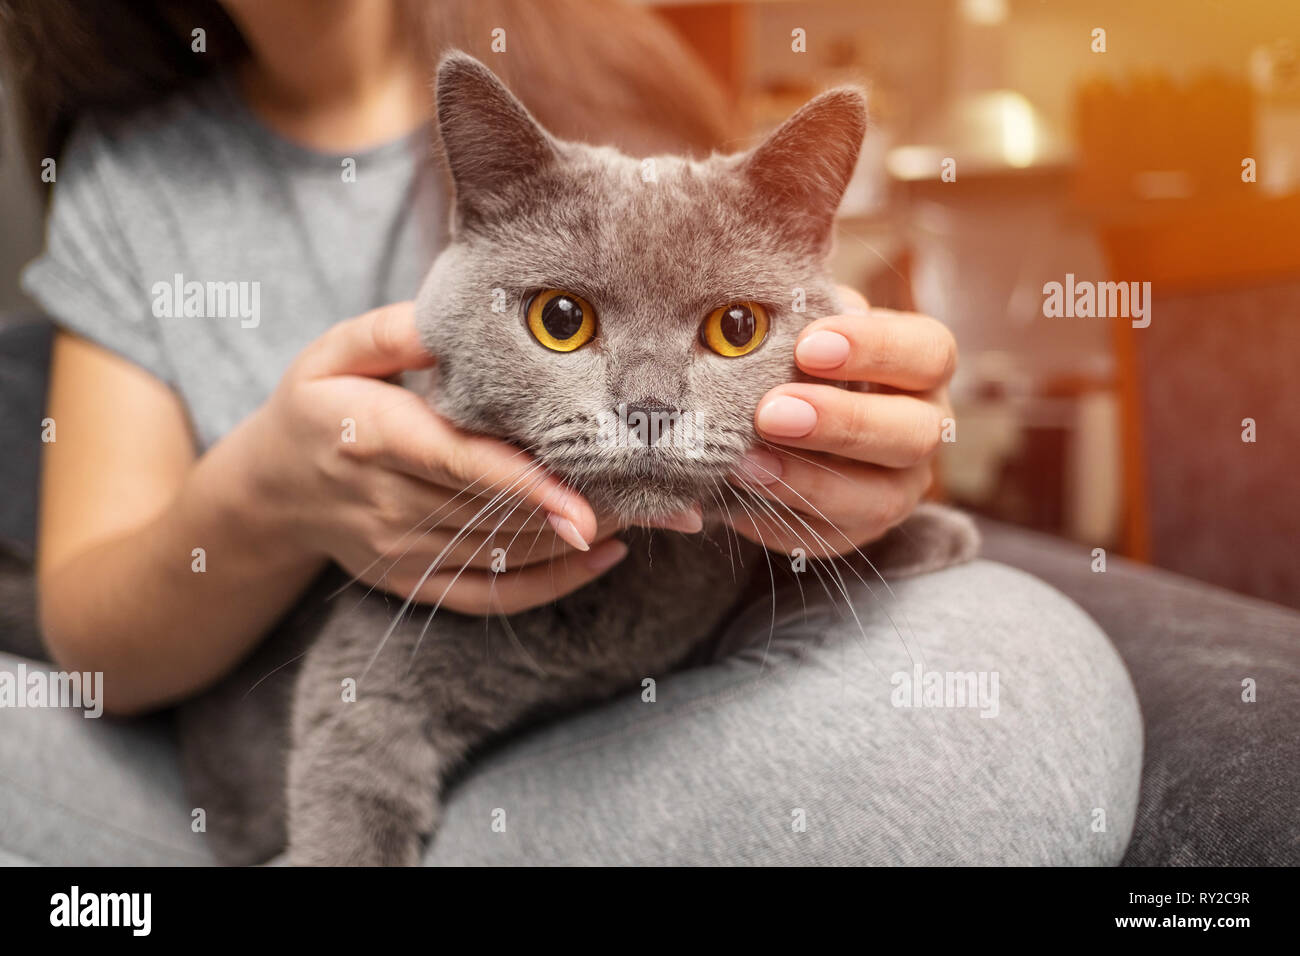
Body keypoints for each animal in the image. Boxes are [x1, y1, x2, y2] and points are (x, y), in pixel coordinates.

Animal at [180, 55, 977, 868]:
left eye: (737, 328)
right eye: (560, 319)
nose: (650, 407)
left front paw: (924, 532)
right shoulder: (371, 672)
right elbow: (350, 793)